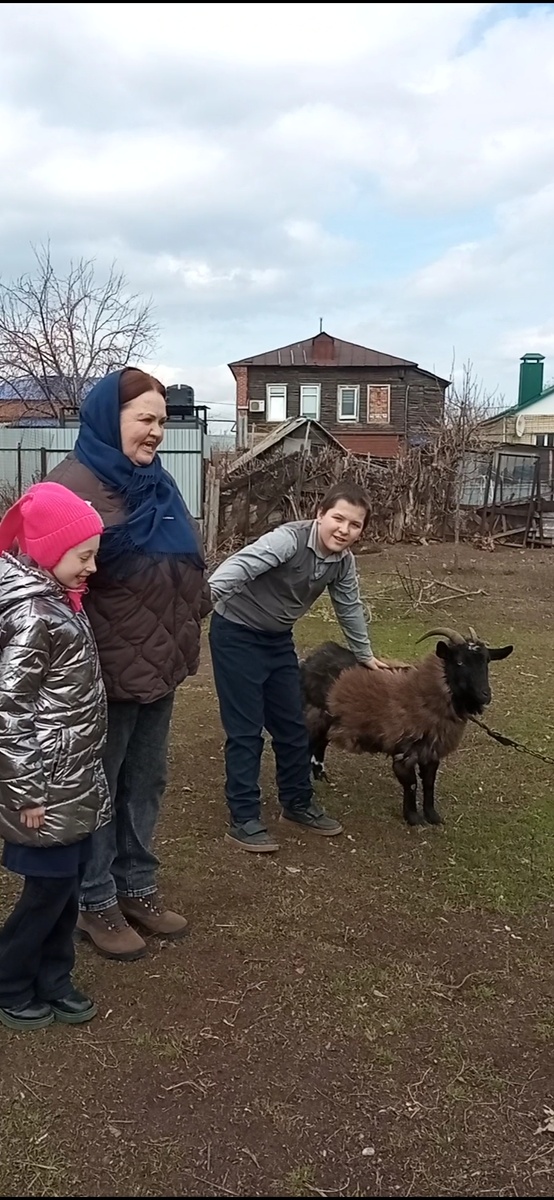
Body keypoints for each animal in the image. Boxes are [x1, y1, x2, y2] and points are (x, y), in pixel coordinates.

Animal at [300, 627, 513, 826]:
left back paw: (321, 776)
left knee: (321, 743)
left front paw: (432, 816)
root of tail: (313, 657)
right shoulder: (403, 753)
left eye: (486, 662)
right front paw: (413, 818)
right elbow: (411, 784)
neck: (420, 692)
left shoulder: (430, 752)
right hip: (314, 715)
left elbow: (429, 783)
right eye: (459, 662)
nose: (485, 695)